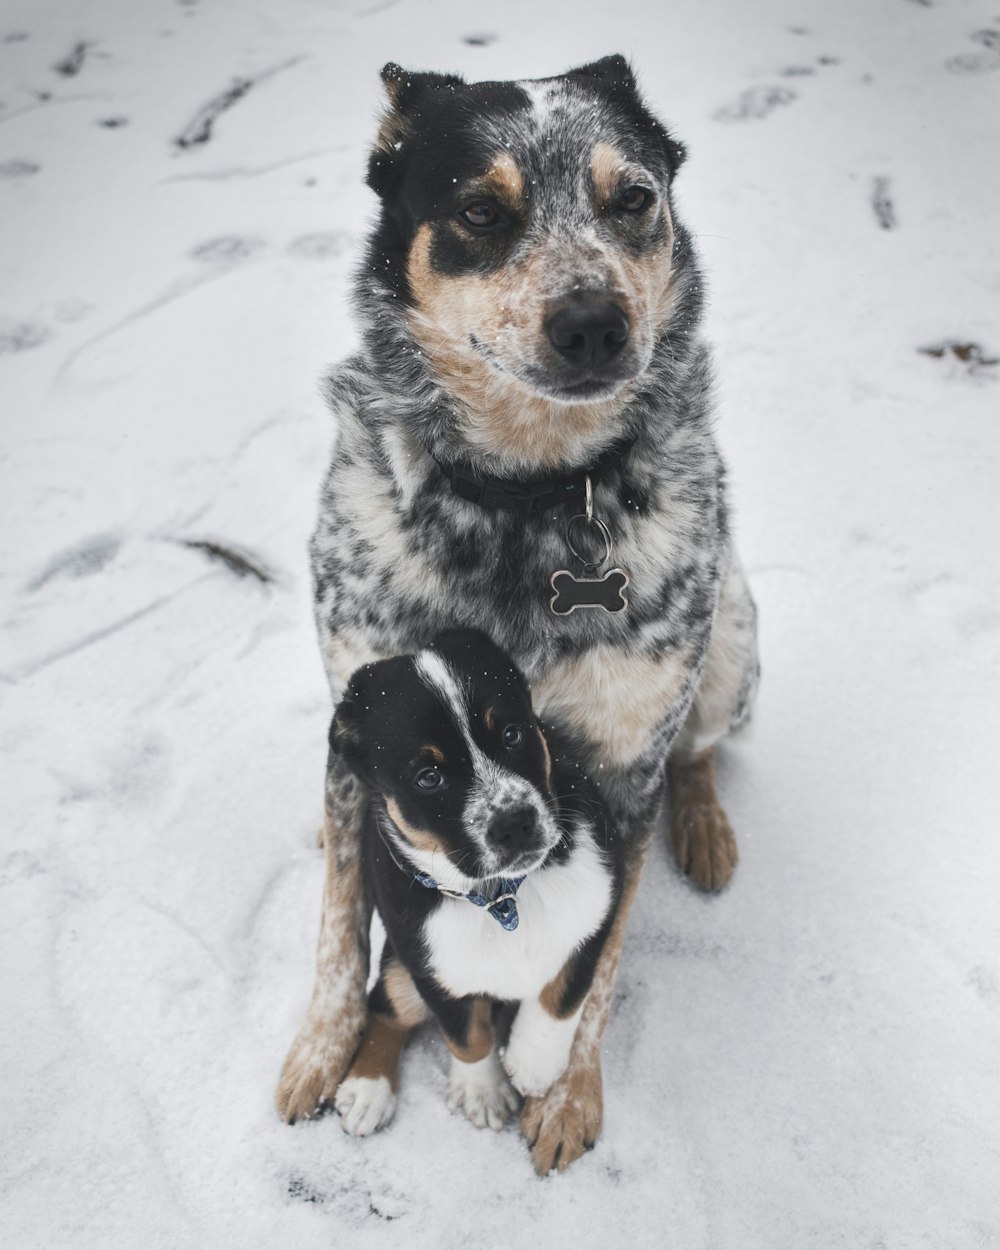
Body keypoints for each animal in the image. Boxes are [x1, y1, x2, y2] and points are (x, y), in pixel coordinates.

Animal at [332, 630, 620, 1140]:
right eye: (429, 777)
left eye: (512, 734)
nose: (514, 824)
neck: (505, 896)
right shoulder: (433, 969)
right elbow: (466, 1035)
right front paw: (482, 1090)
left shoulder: (596, 914)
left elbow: (562, 996)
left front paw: (534, 1064)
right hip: (401, 967)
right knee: (386, 1004)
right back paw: (367, 1089)